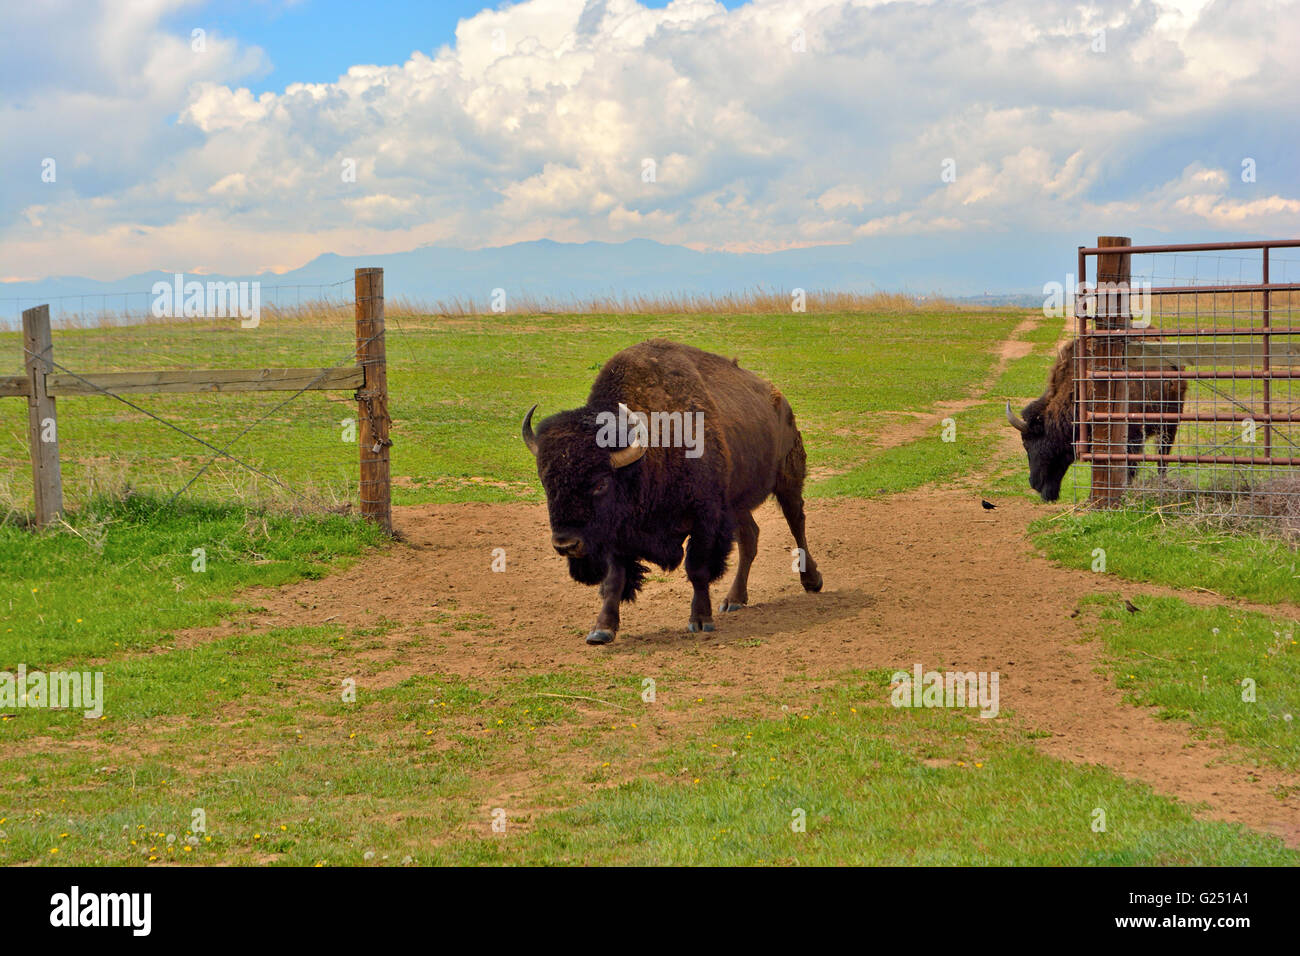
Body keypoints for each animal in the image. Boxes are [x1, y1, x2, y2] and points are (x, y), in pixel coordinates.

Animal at [520, 340, 816, 647]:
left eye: (600, 483)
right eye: (547, 481)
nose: (566, 544)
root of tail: (780, 400)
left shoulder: (704, 520)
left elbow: (697, 569)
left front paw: (700, 620)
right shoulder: (617, 534)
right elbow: (614, 580)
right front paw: (601, 630)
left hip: (787, 480)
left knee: (796, 523)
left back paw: (811, 581)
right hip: (737, 504)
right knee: (750, 538)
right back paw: (734, 599)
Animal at [1003, 335, 1190, 502]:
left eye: (1027, 443)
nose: (1034, 483)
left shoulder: (1132, 438)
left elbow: (1128, 468)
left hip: (1169, 426)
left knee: (1162, 458)